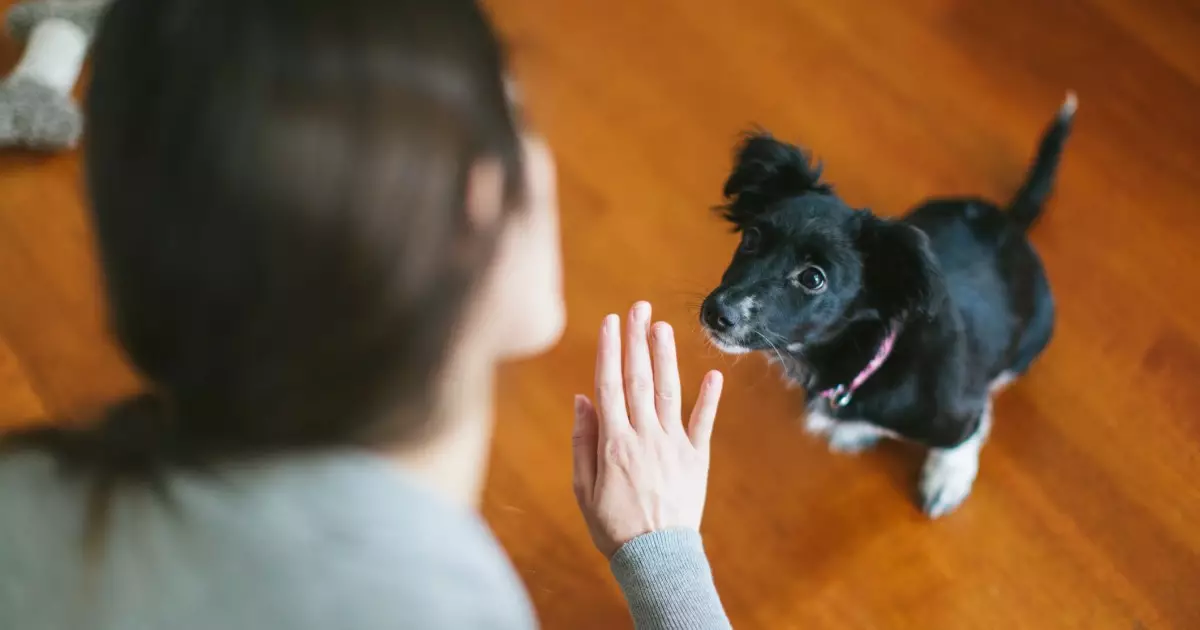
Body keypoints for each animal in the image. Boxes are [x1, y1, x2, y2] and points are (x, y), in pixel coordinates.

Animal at [700, 93, 1075, 516]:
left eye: (813, 278)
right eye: (750, 238)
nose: (717, 313)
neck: (866, 359)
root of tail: (1010, 223)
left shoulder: (958, 409)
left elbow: (963, 436)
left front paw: (947, 479)